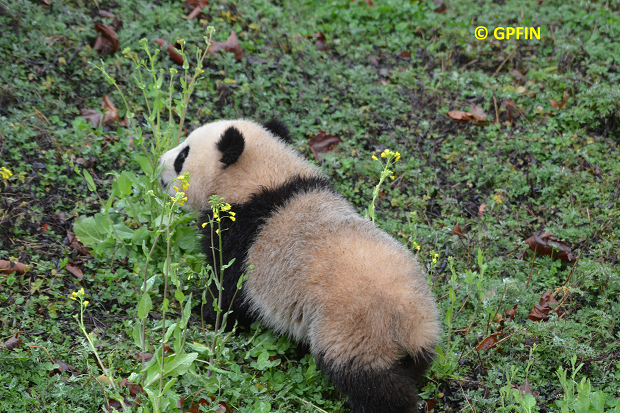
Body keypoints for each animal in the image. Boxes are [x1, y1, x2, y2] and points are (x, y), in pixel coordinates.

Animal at [160, 119, 440, 412]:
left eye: (183, 156)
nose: (159, 165)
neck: (264, 177)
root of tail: (406, 324)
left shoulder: (240, 236)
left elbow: (229, 291)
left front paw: (205, 312)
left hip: (353, 331)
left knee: (372, 383)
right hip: (418, 325)